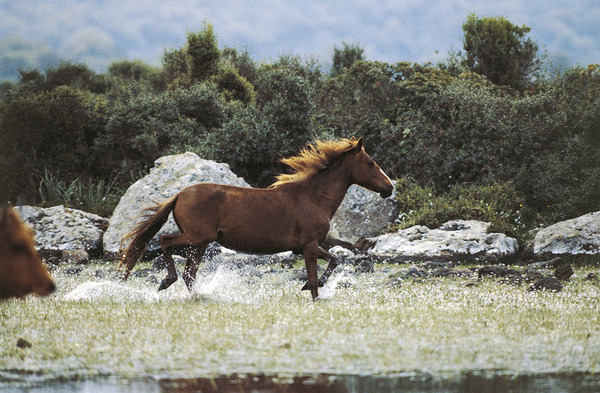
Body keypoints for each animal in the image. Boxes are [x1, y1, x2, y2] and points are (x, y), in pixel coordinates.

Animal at [119, 136, 396, 298]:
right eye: (370, 163)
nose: (390, 188)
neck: (313, 197)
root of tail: (179, 195)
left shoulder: (306, 246)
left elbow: (335, 260)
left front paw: (308, 286)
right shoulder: (308, 246)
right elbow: (316, 277)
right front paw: (312, 291)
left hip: (200, 243)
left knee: (190, 273)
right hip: (196, 237)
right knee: (165, 243)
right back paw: (167, 281)